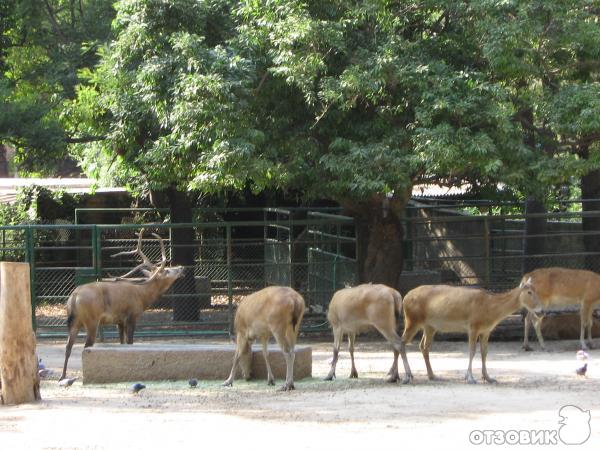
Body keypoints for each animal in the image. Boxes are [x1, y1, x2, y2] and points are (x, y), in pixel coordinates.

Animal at [60, 230, 184, 382]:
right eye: (167, 271)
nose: (181, 267)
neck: (142, 297)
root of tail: (74, 296)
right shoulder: (131, 315)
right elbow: (130, 342)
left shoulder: (119, 321)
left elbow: (122, 343)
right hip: (91, 320)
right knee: (86, 345)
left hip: (74, 321)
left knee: (68, 346)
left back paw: (63, 376)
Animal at [400, 280, 540, 384]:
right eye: (529, 292)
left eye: (536, 290)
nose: (541, 310)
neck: (490, 309)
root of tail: (404, 298)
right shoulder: (473, 326)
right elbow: (472, 351)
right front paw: (470, 378)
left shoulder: (486, 330)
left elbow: (484, 352)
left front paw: (488, 377)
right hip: (412, 320)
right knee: (401, 342)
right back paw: (407, 376)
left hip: (429, 326)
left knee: (423, 346)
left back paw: (432, 376)